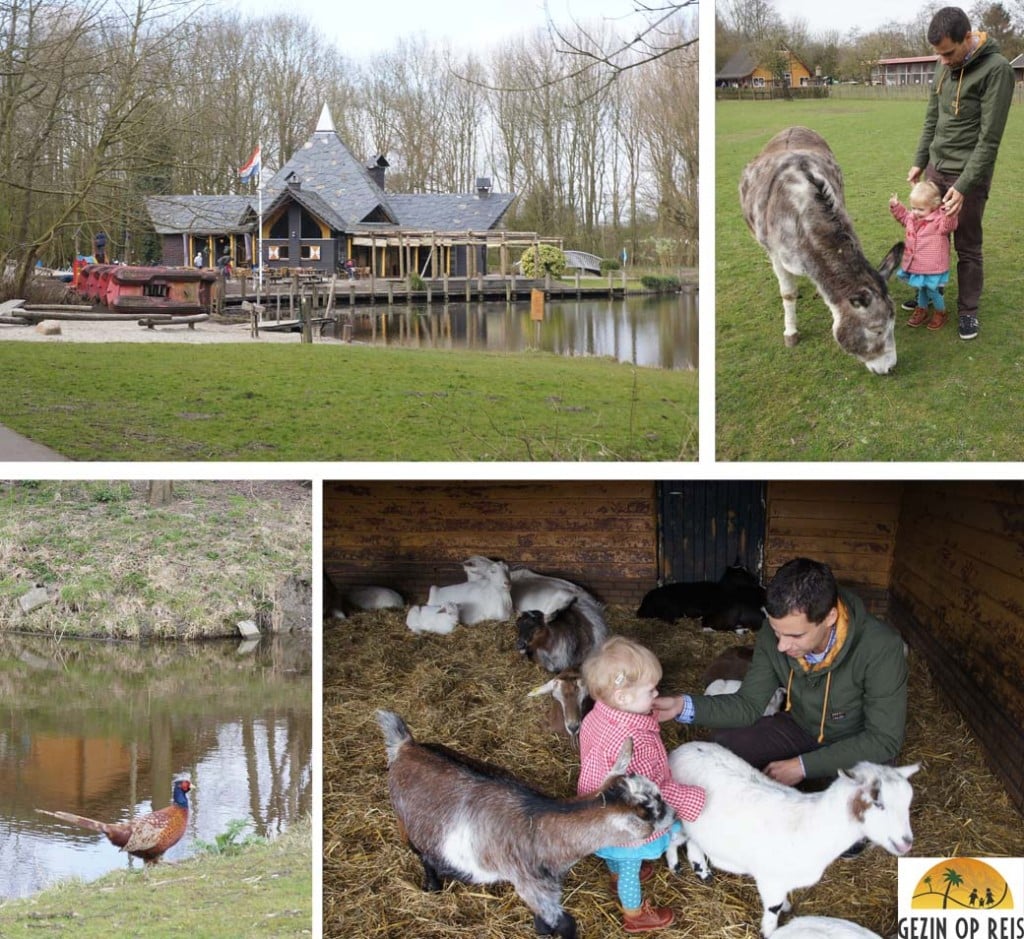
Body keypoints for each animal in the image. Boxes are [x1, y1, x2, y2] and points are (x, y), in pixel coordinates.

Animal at [376, 712, 671, 937]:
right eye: (649, 811)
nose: (672, 813)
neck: (541, 823)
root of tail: (406, 747)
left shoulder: (548, 886)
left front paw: (541, 930)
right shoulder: (530, 885)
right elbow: (567, 924)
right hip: (408, 824)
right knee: (423, 855)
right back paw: (433, 886)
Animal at [663, 741, 921, 937]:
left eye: (908, 802)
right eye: (878, 803)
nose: (906, 842)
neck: (813, 824)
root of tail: (681, 749)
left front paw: (787, 905)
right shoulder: (771, 879)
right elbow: (773, 911)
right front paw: (769, 930)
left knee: (694, 842)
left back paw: (702, 871)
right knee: (672, 839)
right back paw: (676, 866)